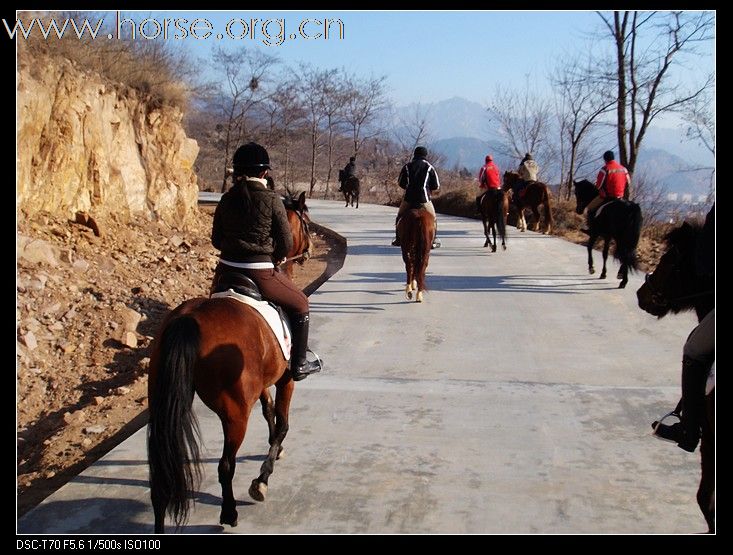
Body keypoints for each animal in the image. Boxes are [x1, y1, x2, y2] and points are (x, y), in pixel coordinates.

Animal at [147, 195, 310, 536]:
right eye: (306, 222)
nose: (309, 249)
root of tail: (187, 320)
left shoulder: (260, 383)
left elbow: (269, 411)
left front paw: (274, 450)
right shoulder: (285, 378)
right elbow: (282, 421)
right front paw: (262, 479)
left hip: (161, 403)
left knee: (159, 475)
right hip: (234, 413)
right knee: (225, 465)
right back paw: (229, 512)